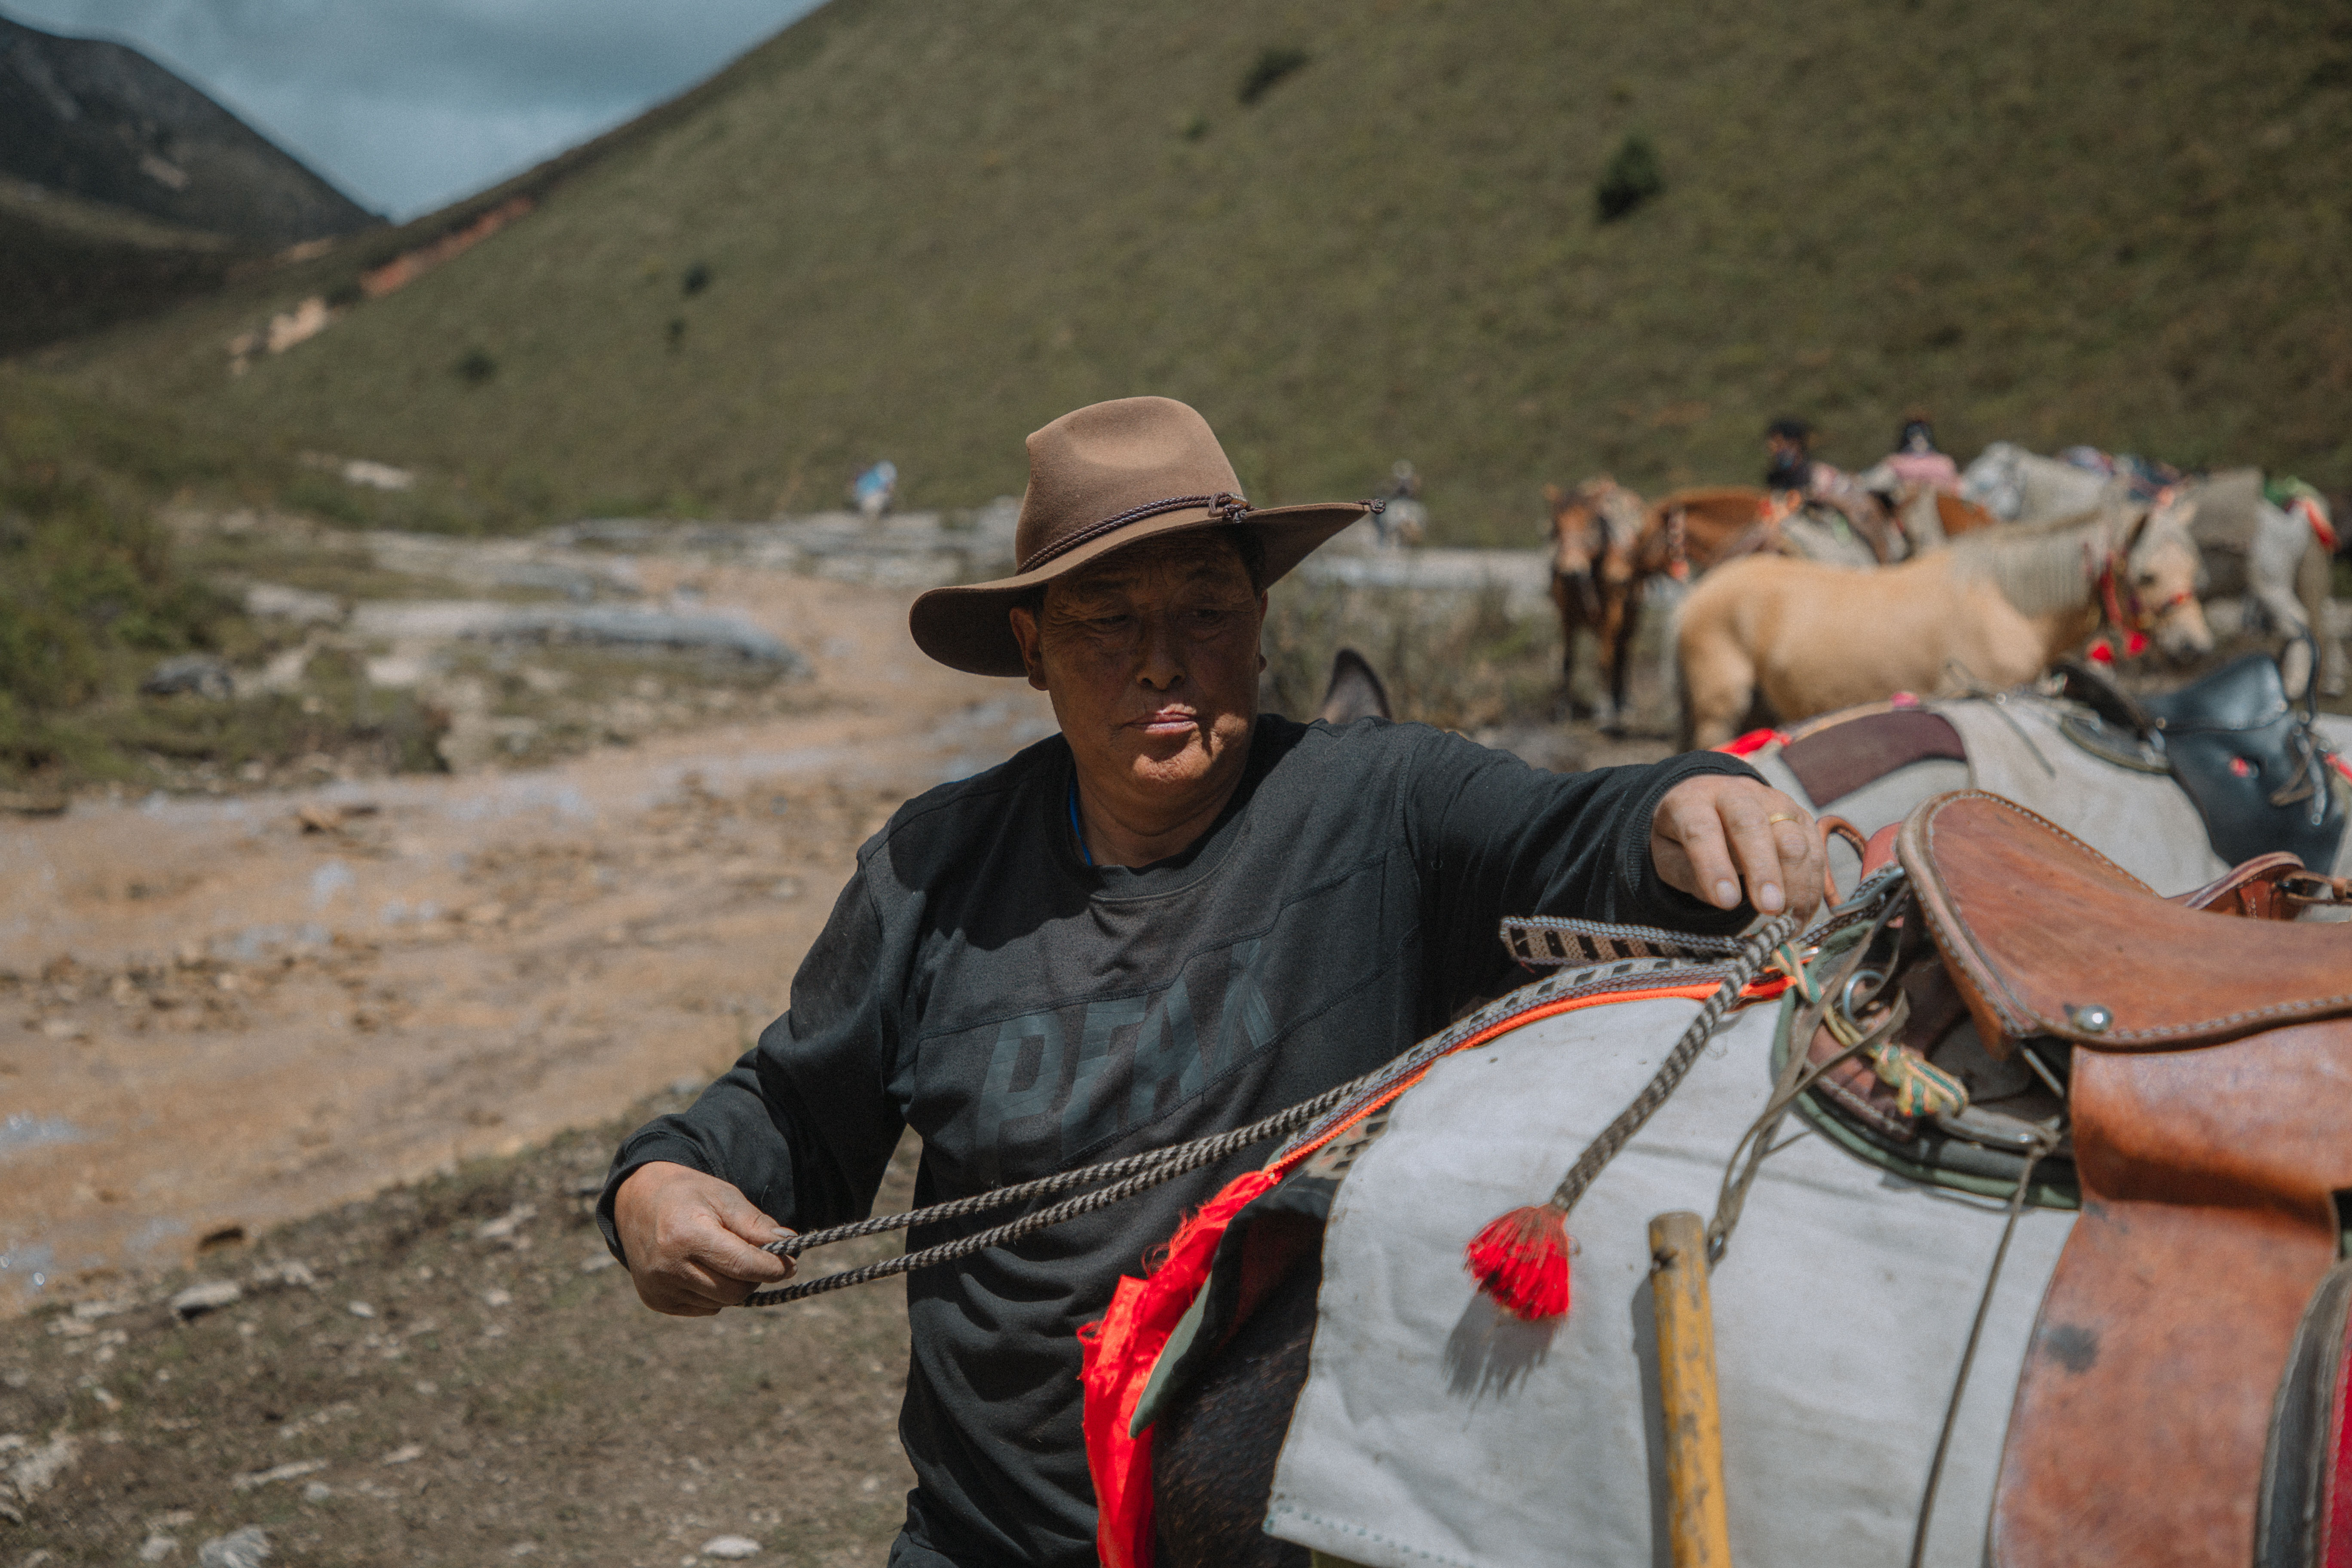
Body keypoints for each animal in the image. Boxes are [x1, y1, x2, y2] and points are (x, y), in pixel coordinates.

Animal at [1543, 479, 1637, 729]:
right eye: (1557, 524)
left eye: (1590, 524)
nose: (1571, 570)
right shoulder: (1566, 617)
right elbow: (1567, 661)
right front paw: (1563, 709)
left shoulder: (1611, 617)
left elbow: (1605, 660)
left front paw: (1604, 709)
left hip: (1632, 614)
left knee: (1625, 651)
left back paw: (1624, 702)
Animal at [1684, 503, 2211, 747]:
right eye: (2147, 575)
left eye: (2194, 566)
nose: (2195, 647)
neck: (2007, 602)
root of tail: (1700, 591)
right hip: (1721, 712)